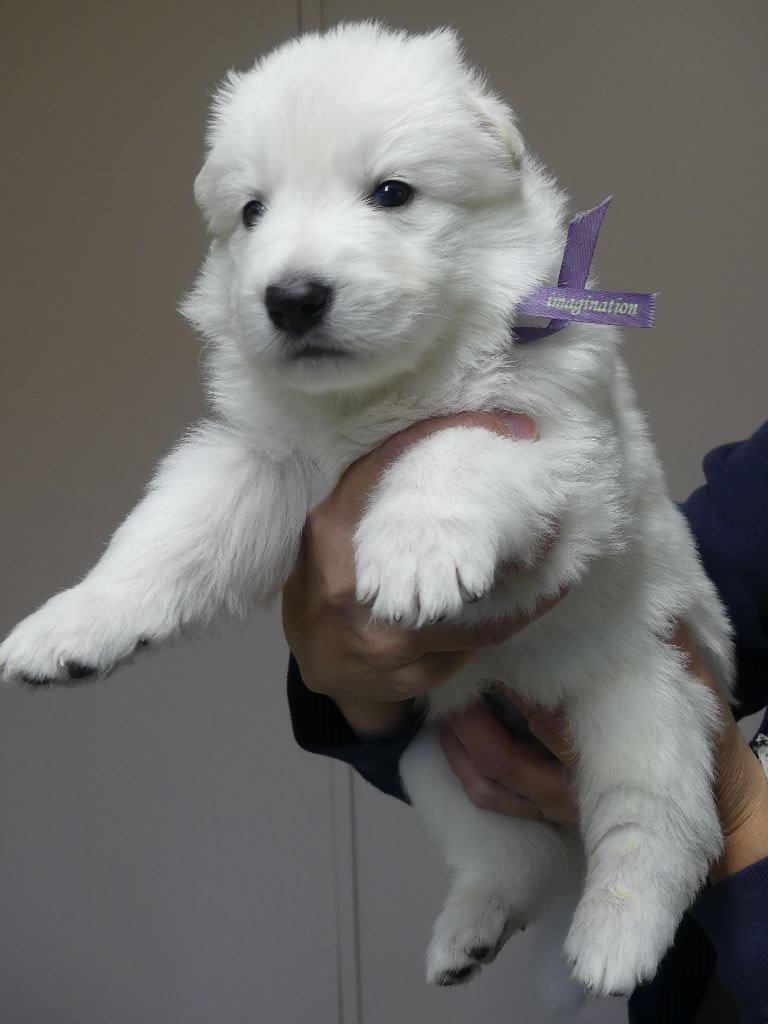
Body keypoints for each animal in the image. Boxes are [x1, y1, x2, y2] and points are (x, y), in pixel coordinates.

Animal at [0, 22, 733, 1007]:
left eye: (392, 193)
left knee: (654, 828)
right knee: (514, 856)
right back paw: (468, 932)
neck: (377, 397)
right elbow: (166, 536)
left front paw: (414, 554)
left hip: (650, 697)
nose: (291, 298)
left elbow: (448, 448)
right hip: (439, 750)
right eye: (252, 212)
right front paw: (72, 625)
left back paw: (615, 943)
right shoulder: (257, 462)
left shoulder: (563, 451)